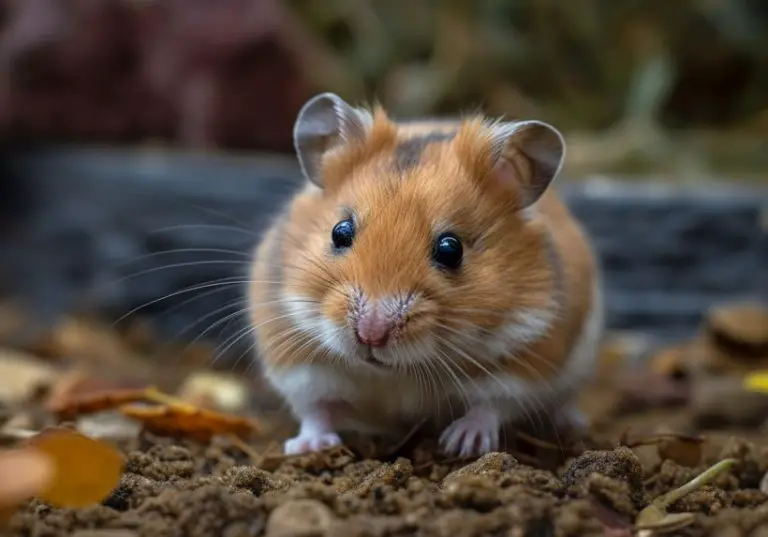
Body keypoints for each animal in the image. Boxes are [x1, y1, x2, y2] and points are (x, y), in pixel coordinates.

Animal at [249, 92, 604, 457]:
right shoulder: (294, 359)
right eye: (340, 232)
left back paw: (572, 423)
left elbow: (491, 406)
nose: (371, 335)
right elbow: (314, 409)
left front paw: (462, 445)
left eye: (451, 249)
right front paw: (308, 447)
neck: (398, 373)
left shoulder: (529, 360)